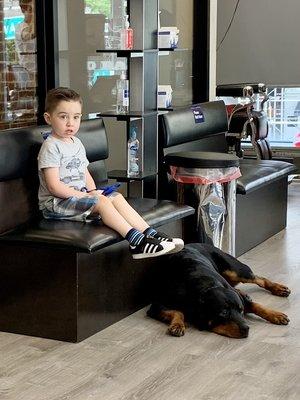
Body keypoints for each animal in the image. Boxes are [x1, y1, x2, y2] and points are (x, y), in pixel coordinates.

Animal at [148, 242, 290, 340]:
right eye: (223, 313)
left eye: (240, 310)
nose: (247, 329)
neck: (206, 287)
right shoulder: (156, 306)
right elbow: (177, 312)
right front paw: (177, 325)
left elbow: (257, 305)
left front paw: (276, 315)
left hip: (234, 271)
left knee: (258, 278)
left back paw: (278, 288)